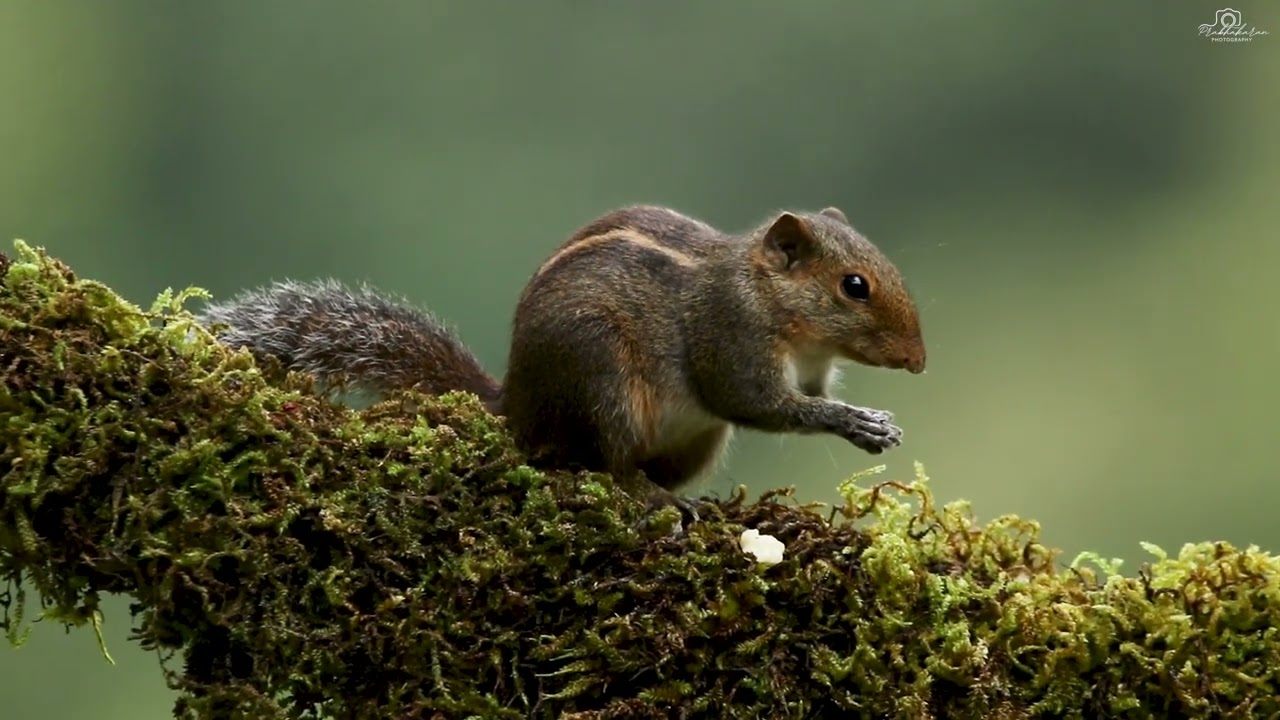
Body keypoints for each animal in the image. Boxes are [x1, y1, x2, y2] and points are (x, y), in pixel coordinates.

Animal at [198, 205, 926, 516]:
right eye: (854, 286)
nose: (919, 363)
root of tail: (516, 410)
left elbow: (807, 397)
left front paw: (869, 420)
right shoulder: (733, 341)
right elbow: (762, 405)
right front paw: (857, 422)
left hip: (695, 440)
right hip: (602, 379)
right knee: (598, 465)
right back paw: (650, 498)